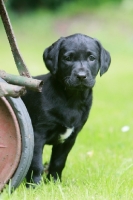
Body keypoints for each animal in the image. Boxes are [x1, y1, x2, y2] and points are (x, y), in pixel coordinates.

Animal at [22, 33, 111, 185]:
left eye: (91, 58)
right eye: (68, 58)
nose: (81, 76)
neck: (72, 99)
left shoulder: (69, 139)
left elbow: (58, 162)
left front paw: (54, 183)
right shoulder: (37, 134)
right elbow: (36, 164)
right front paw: (35, 185)